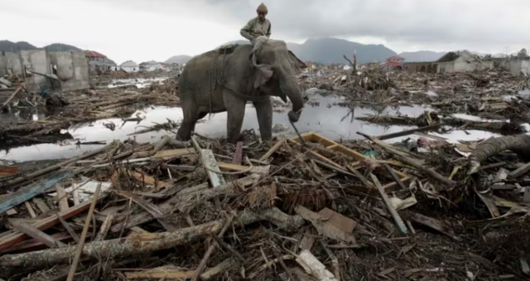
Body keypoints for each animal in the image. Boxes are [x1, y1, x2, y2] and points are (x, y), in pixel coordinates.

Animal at [174, 37, 304, 142]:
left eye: (294, 67)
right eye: (275, 70)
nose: (292, 115)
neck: (253, 52)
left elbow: (266, 110)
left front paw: (268, 143)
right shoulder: (233, 80)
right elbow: (237, 113)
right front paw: (232, 144)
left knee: (195, 117)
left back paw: (187, 140)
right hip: (187, 91)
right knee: (190, 118)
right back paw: (181, 143)